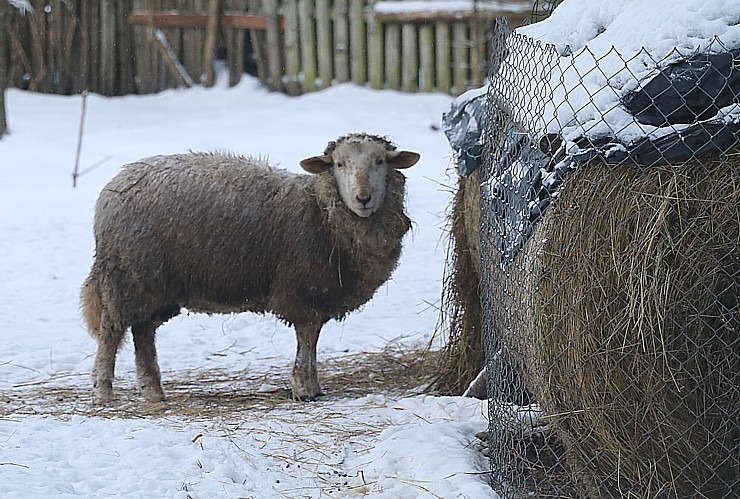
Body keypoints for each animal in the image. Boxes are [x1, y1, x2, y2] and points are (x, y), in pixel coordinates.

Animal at [81, 133, 422, 402]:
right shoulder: (302, 292)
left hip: (153, 284)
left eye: (381, 162)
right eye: (339, 164)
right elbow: (307, 340)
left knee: (143, 331)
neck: (320, 211)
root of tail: (111, 188)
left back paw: (152, 391)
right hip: (125, 276)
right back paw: (103, 392)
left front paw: (312, 386)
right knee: (112, 332)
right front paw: (304, 389)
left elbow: (311, 342)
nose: (363, 198)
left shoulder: (316, 295)